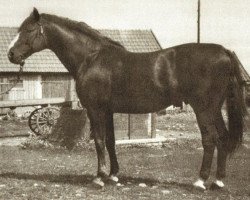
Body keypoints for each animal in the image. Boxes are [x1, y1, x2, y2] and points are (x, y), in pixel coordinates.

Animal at [6, 7, 247, 189]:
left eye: (28, 29)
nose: (11, 54)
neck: (91, 58)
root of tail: (224, 52)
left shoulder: (95, 110)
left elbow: (99, 141)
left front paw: (99, 178)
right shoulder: (108, 110)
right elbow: (111, 141)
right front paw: (113, 175)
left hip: (203, 108)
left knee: (210, 140)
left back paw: (200, 181)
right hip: (215, 109)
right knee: (223, 138)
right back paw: (218, 181)